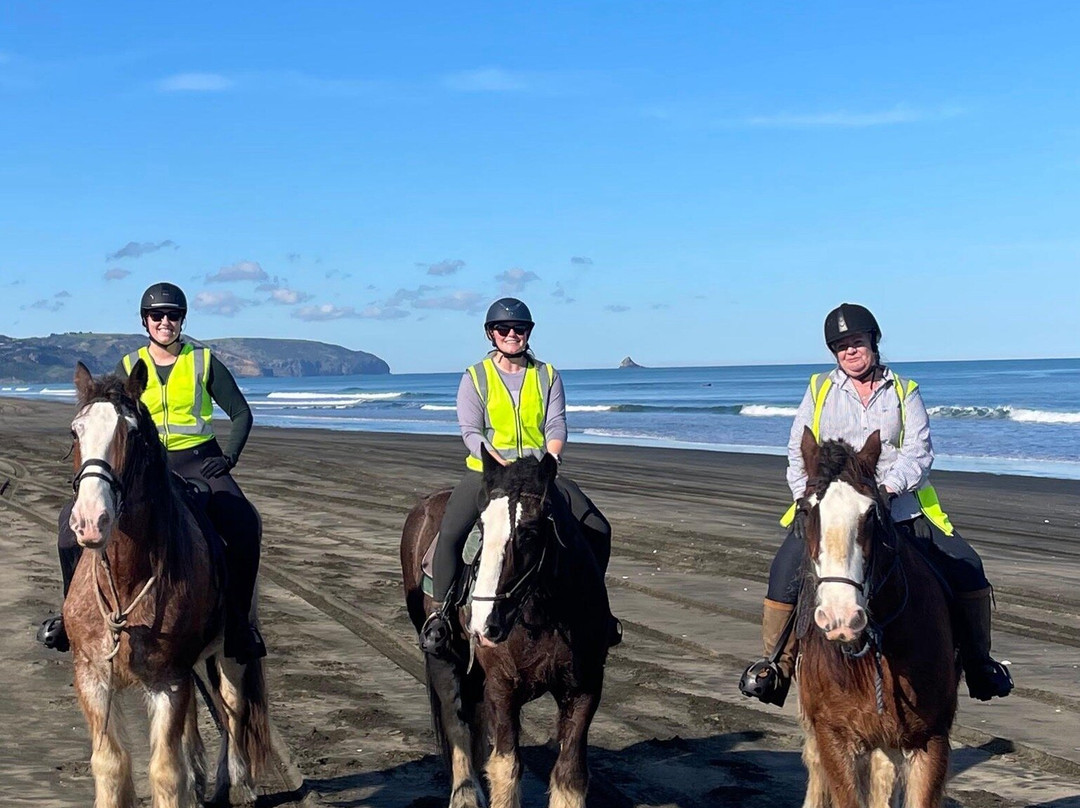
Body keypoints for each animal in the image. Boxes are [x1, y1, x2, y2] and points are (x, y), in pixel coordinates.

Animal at [61, 361, 271, 808]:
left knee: (232, 710)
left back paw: (239, 782)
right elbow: (110, 764)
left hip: (231, 651)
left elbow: (164, 772)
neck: (127, 580)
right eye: (75, 431)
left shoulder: (166, 681)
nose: (91, 521)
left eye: (134, 433)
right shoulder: (93, 675)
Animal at [401, 448, 611, 808]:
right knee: (456, 721)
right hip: (441, 655)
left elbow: (569, 775)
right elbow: (506, 767)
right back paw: (465, 795)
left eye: (529, 533)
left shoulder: (584, 688)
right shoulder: (503, 686)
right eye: (481, 531)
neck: (544, 616)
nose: (483, 624)